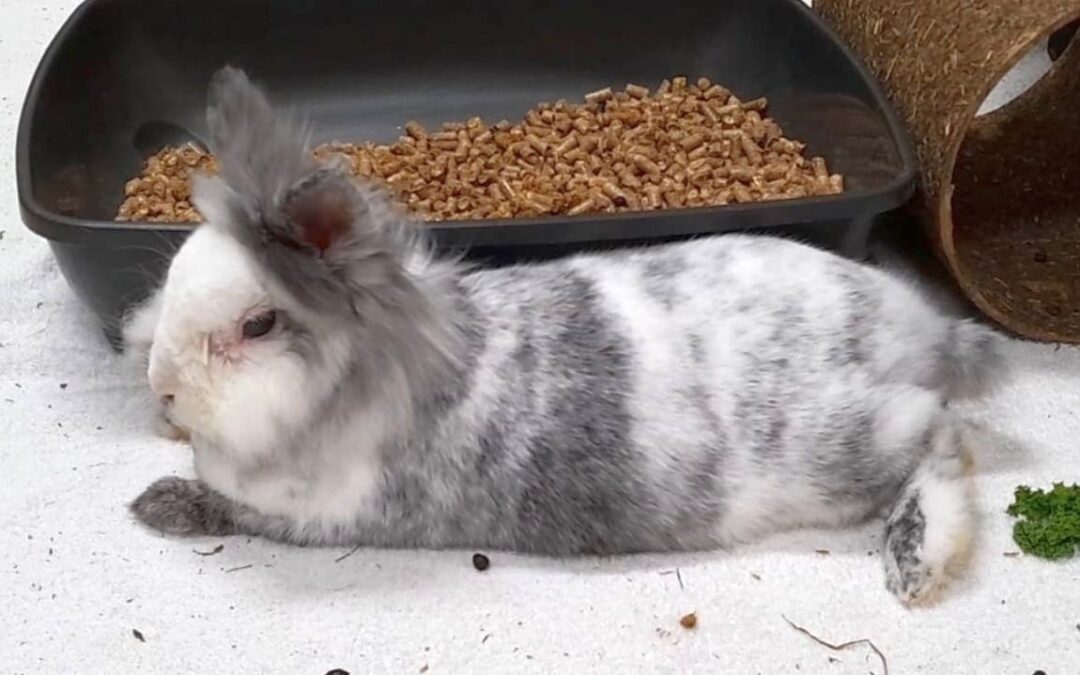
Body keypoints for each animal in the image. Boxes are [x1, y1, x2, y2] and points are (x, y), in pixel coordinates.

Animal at [126, 66, 1005, 607]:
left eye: (258, 324)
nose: (160, 391)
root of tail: (918, 329)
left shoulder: (318, 517)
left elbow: (227, 509)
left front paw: (154, 504)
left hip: (852, 445)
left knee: (944, 436)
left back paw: (916, 557)